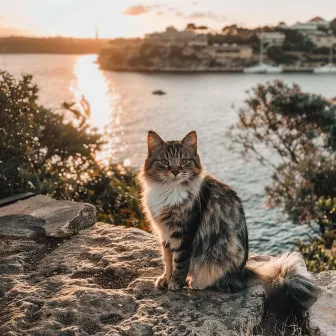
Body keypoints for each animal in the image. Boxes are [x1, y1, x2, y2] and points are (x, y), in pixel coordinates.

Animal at [138, 130, 318, 316]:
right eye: (164, 162)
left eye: (184, 161)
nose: (174, 171)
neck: (169, 191)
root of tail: (242, 273)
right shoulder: (165, 233)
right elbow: (167, 260)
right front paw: (165, 279)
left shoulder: (184, 234)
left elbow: (179, 262)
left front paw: (175, 283)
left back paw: (195, 282)